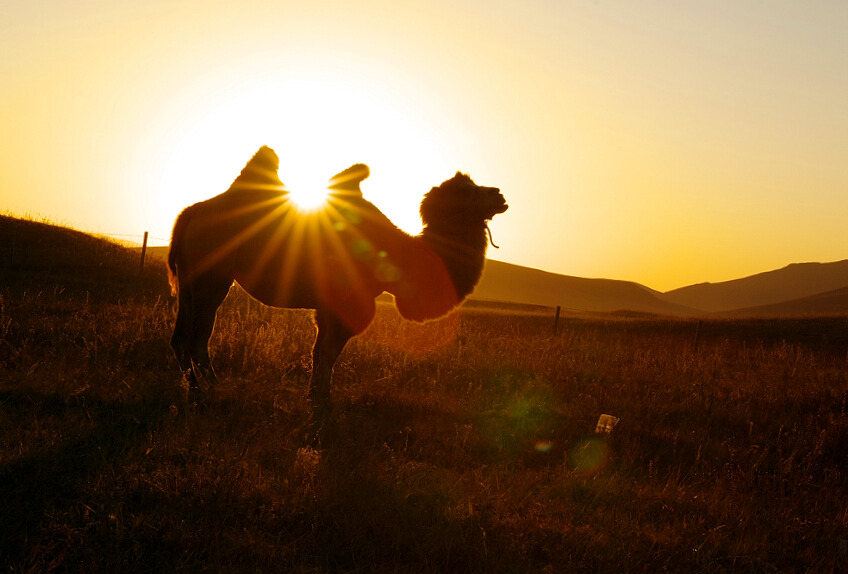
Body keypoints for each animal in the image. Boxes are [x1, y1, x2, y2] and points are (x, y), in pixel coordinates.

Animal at [169, 146, 506, 420]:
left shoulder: (328, 307)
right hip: (213, 276)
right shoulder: (352, 303)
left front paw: (315, 399)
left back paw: (196, 390)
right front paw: (323, 406)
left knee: (182, 336)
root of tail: (192, 212)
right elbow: (328, 355)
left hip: (191, 280)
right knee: (197, 336)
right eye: (469, 192)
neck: (399, 255)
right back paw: (208, 392)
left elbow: (319, 353)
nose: (500, 195)